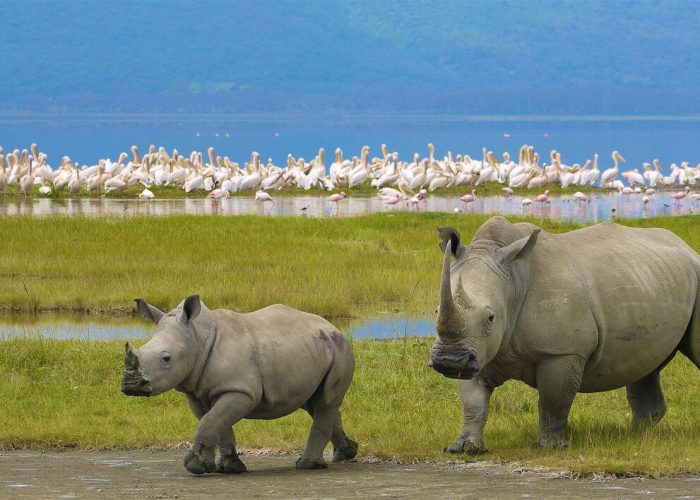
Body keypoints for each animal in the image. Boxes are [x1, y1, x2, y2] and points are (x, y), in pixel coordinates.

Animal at [121, 295, 357, 473]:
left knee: (325, 401)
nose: (130, 385)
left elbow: (210, 421)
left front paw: (195, 467)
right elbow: (217, 423)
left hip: (340, 349)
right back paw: (345, 453)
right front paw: (229, 468)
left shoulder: (240, 390)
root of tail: (332, 326)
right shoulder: (199, 393)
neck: (197, 338)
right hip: (313, 348)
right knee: (315, 403)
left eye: (166, 358)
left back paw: (307, 465)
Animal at [429, 216, 700, 452]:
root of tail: (686, 247)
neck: (513, 281)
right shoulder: (478, 350)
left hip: (694, 273)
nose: (449, 360)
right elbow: (473, 402)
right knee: (645, 364)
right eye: (436, 311)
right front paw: (463, 448)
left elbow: (553, 401)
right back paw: (634, 436)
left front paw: (549, 447)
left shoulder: (561, 352)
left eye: (490, 318)